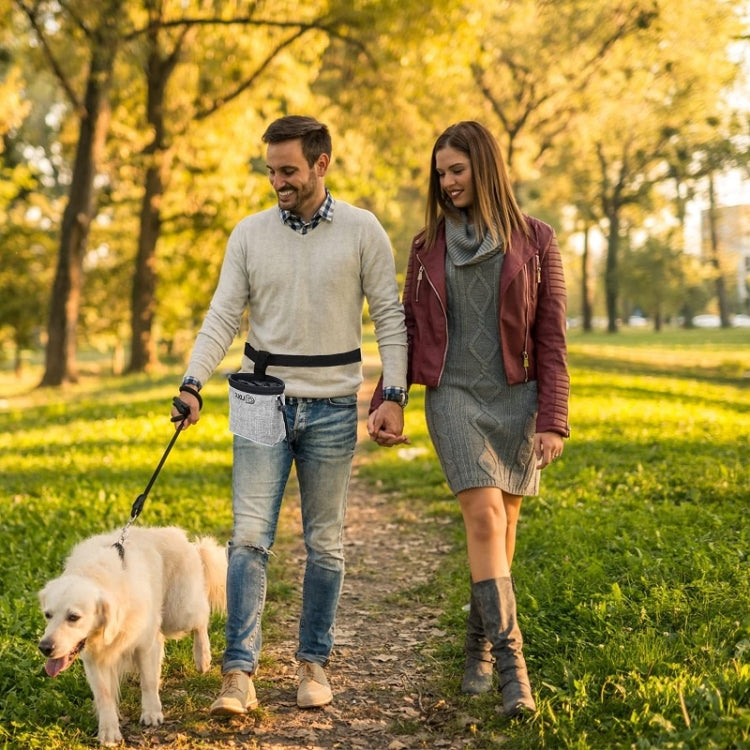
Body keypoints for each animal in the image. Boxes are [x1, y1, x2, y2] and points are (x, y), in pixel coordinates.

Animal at [38, 524, 226, 748]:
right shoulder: (94, 660)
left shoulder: (144, 646)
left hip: (179, 614)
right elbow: (104, 695)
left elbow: (149, 681)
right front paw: (109, 731)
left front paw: (152, 713)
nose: (44, 648)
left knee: (202, 618)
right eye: (47, 615)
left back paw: (203, 658)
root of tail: (183, 538)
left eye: (73, 617)